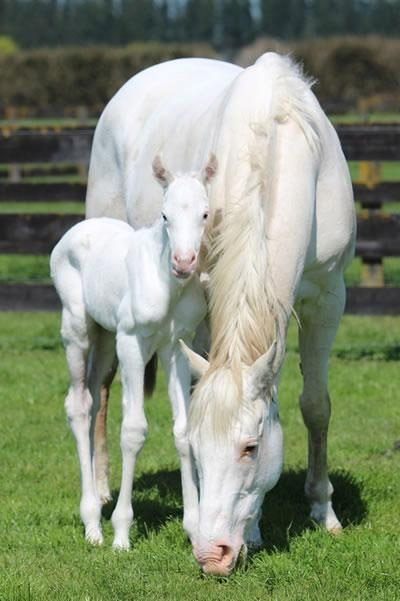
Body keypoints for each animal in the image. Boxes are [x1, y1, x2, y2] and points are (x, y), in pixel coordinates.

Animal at [52, 154, 219, 548]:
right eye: (164, 215)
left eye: (205, 213)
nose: (184, 262)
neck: (167, 283)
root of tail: (77, 230)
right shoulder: (132, 342)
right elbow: (133, 430)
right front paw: (122, 532)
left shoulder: (175, 347)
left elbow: (183, 431)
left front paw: (194, 528)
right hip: (78, 328)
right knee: (77, 405)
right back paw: (92, 523)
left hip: (105, 337)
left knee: (94, 395)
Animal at [86, 54, 354, 576]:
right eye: (200, 449)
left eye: (251, 448)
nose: (214, 555)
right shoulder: (208, 304)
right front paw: (243, 527)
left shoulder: (328, 298)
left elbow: (315, 405)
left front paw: (322, 509)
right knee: (100, 385)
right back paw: (104, 489)